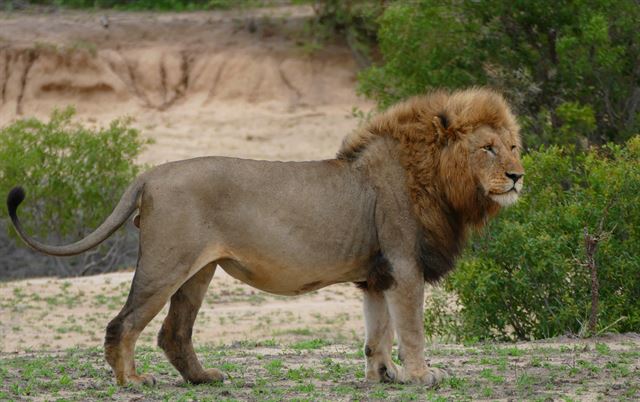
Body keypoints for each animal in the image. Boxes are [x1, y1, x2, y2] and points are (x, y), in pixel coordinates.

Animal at [6, 87, 524, 386]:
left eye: (514, 146)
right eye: (487, 148)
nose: (518, 176)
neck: (440, 180)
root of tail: (149, 174)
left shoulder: (377, 275)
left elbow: (378, 331)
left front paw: (385, 375)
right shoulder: (403, 264)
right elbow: (411, 328)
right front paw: (422, 375)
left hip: (198, 272)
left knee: (174, 333)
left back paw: (204, 379)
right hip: (166, 264)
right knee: (125, 323)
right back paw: (132, 382)